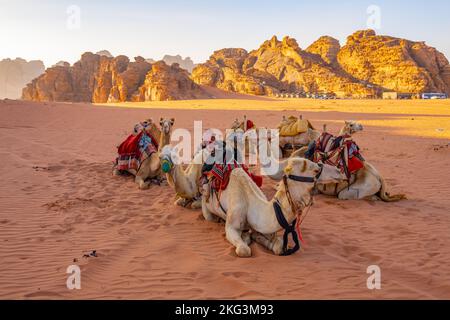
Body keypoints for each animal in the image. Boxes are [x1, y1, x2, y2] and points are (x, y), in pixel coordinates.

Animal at [202, 158, 342, 258]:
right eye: (316, 170)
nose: (339, 171)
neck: (251, 204)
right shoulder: (232, 224)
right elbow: (244, 249)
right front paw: (247, 238)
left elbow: (278, 247)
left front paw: (256, 237)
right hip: (206, 207)